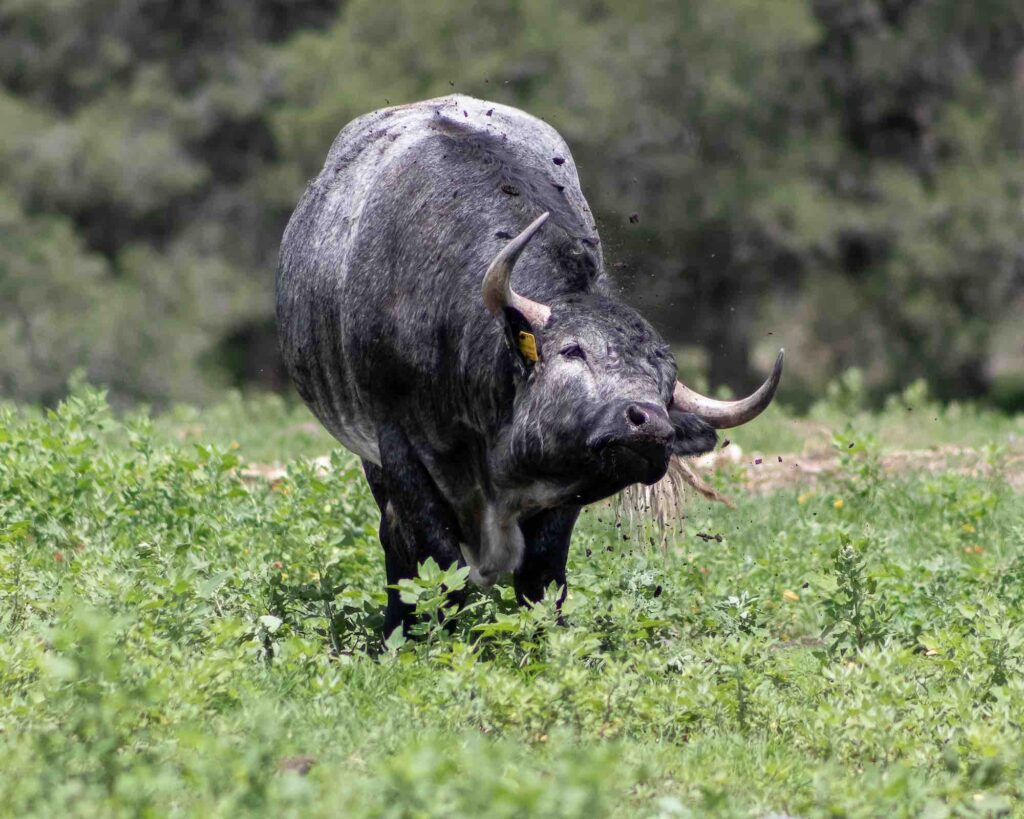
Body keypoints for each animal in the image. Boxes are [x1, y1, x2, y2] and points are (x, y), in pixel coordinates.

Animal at [276, 96, 778, 634]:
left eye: (667, 384)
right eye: (573, 350)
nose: (649, 424)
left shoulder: (561, 487)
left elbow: (542, 572)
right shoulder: (398, 446)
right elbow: (437, 562)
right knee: (395, 539)